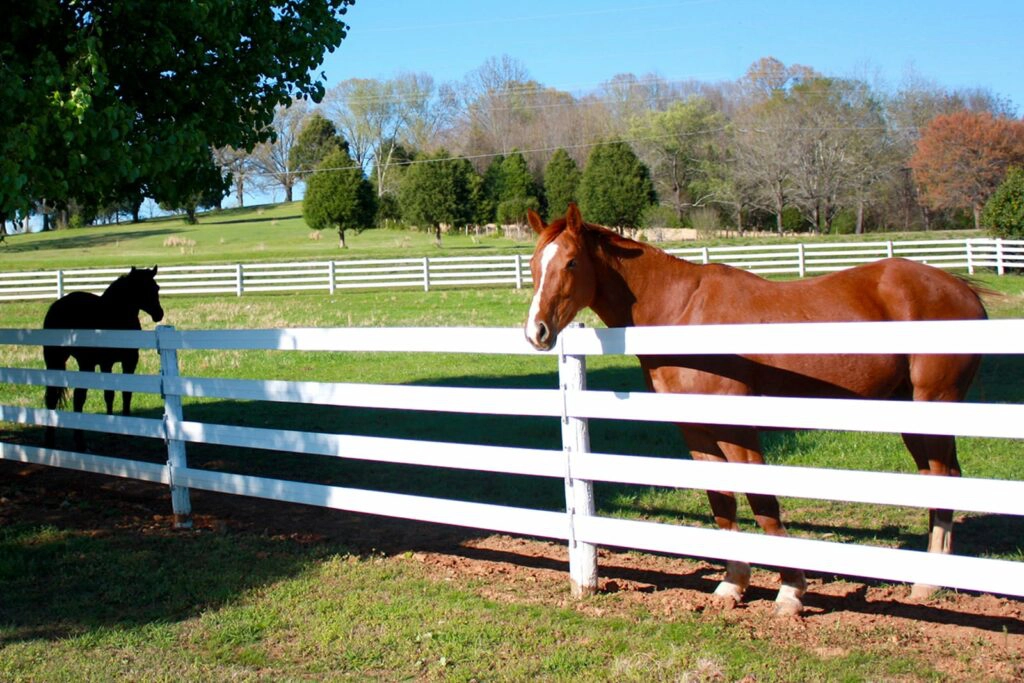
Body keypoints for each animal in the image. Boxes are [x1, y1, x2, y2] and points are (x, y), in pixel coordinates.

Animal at [43, 266, 164, 450]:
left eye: (156, 288)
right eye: (142, 289)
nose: (159, 314)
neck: (115, 315)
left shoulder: (120, 362)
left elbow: (120, 393)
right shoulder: (116, 362)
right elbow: (115, 394)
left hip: (64, 361)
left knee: (58, 397)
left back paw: (54, 439)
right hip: (82, 363)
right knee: (75, 397)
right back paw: (77, 440)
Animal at [523, 204, 987, 615]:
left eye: (571, 263)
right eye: (532, 265)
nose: (536, 332)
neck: (682, 312)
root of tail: (961, 288)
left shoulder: (736, 427)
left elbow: (763, 502)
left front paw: (791, 591)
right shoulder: (696, 430)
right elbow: (723, 504)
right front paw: (732, 585)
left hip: (934, 404)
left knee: (943, 480)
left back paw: (927, 583)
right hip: (909, 410)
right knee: (938, 478)